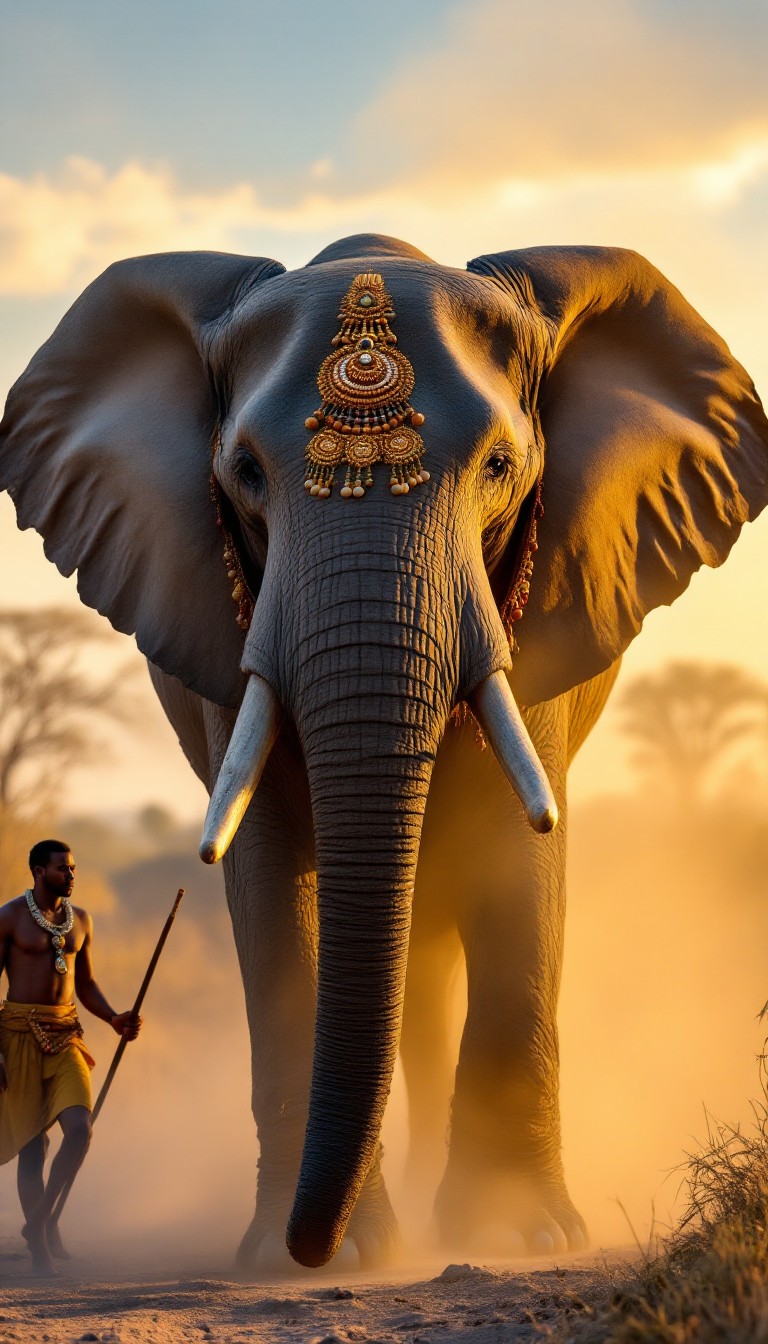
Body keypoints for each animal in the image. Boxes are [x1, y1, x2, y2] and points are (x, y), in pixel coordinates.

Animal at [1, 233, 767, 1273]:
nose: (309, 1244)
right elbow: (271, 883)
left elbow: (517, 863)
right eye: (245, 472)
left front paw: (516, 1236)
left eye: (499, 467)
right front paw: (315, 1258)